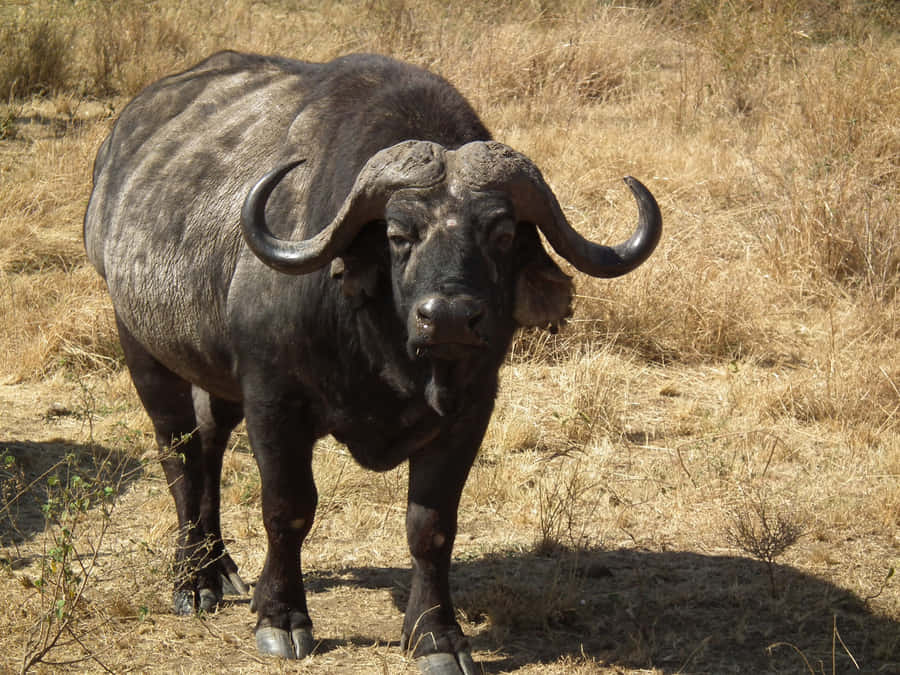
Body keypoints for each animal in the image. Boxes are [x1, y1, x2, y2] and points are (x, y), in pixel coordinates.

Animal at [83, 51, 661, 674]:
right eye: (398, 233)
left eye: (503, 233)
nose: (449, 318)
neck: (385, 351)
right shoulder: (274, 400)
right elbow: (287, 508)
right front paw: (281, 617)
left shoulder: (470, 410)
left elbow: (431, 526)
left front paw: (436, 635)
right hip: (142, 346)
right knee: (180, 453)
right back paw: (193, 581)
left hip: (213, 373)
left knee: (210, 442)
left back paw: (221, 568)